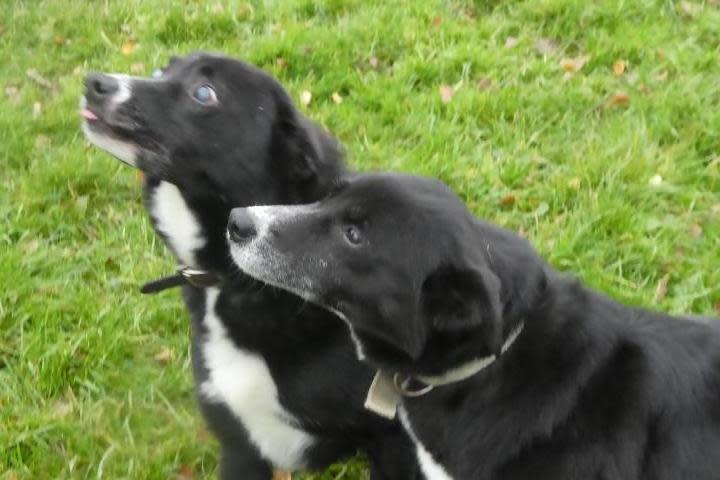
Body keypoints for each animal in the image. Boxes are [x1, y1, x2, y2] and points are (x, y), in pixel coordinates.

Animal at [80, 53, 416, 480]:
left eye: (204, 93)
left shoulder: (397, 443)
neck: (242, 283)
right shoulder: (239, 445)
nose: (94, 83)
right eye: (161, 71)